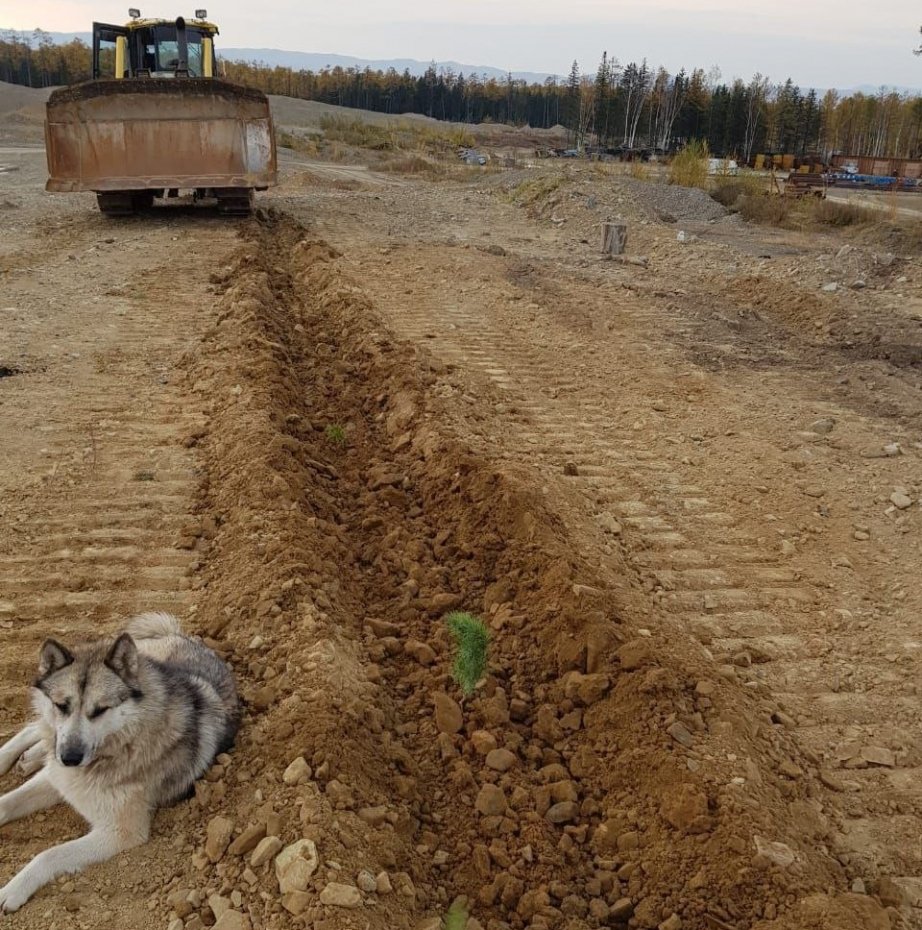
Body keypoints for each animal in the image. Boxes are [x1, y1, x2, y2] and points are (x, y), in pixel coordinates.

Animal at [0, 612, 241, 908]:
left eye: (100, 710)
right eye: (62, 705)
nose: (69, 758)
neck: (122, 744)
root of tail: (178, 634)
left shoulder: (120, 833)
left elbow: (49, 854)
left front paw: (12, 891)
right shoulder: (59, 777)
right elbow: (8, 803)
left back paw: (32, 757)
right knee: (35, 727)